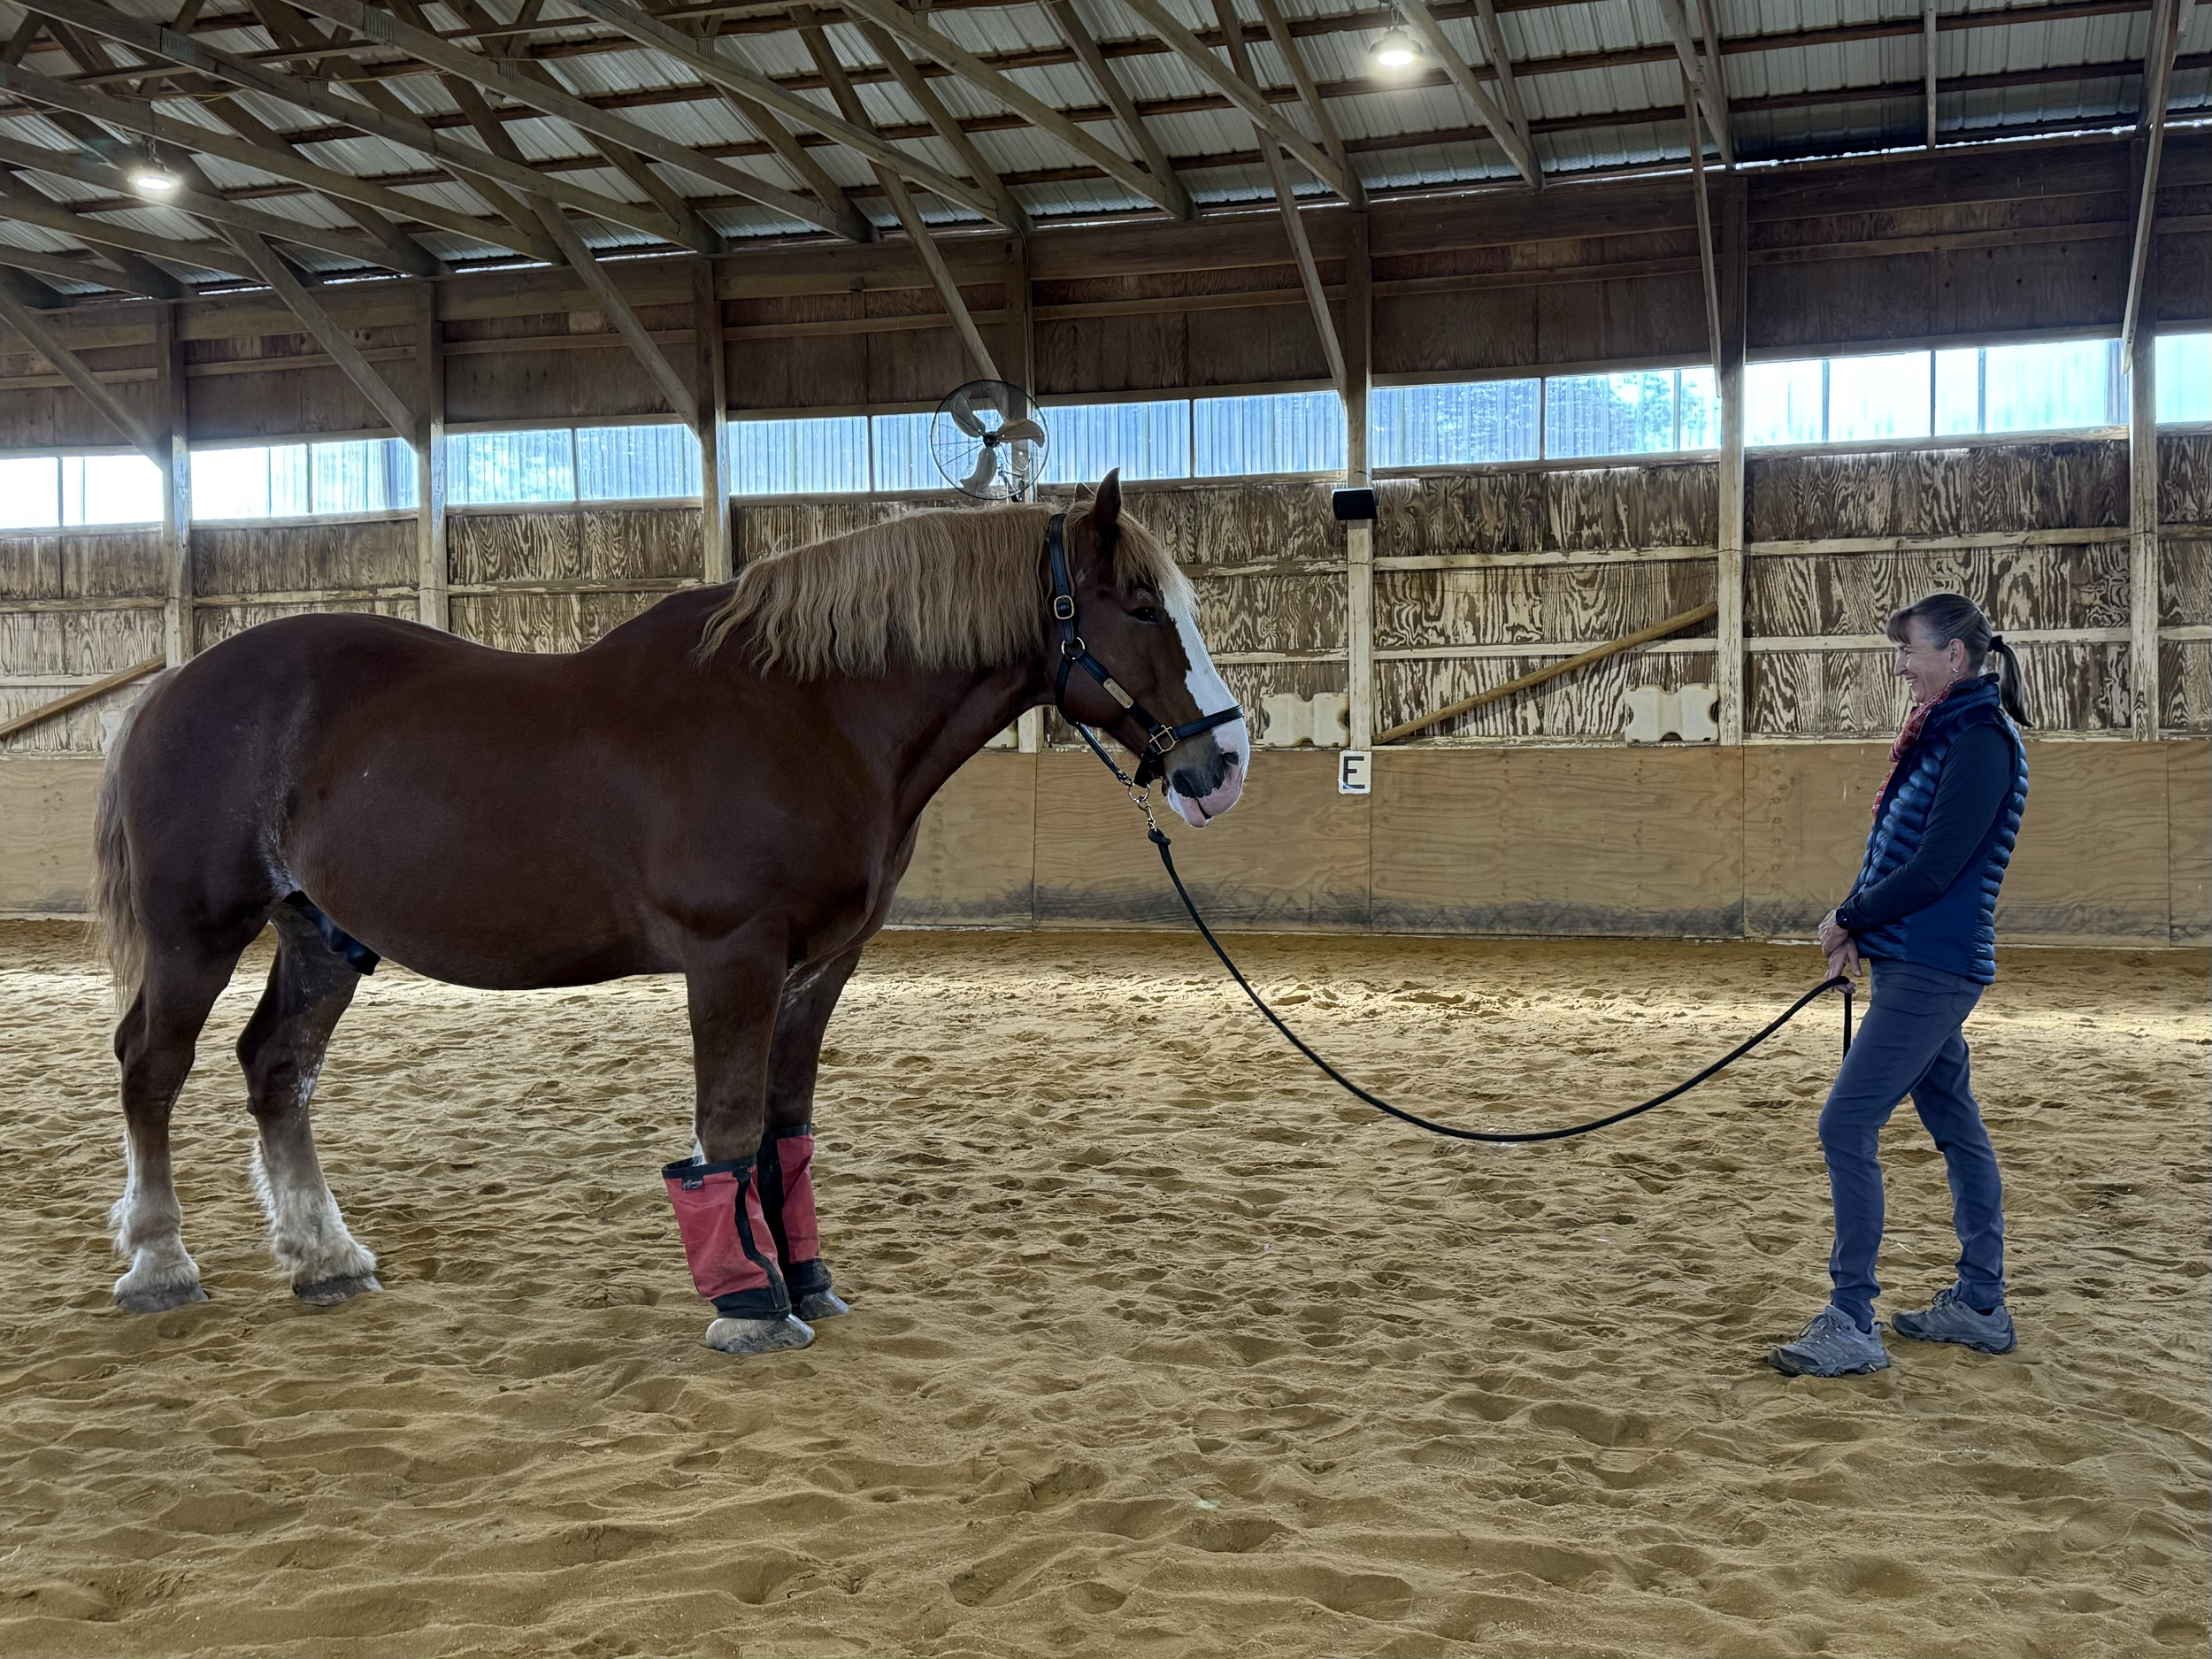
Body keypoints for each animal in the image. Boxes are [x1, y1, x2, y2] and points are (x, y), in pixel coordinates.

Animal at [89, 471, 1250, 1356]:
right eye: (1139, 606)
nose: (1224, 765)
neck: (809, 714)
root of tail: (172, 687)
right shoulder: (733, 957)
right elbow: (726, 1127)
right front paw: (749, 1304)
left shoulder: (818, 965)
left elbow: (784, 1127)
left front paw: (804, 1279)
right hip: (198, 932)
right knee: (153, 1067)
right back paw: (159, 1262)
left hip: (322, 934)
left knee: (278, 1070)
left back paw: (325, 1258)